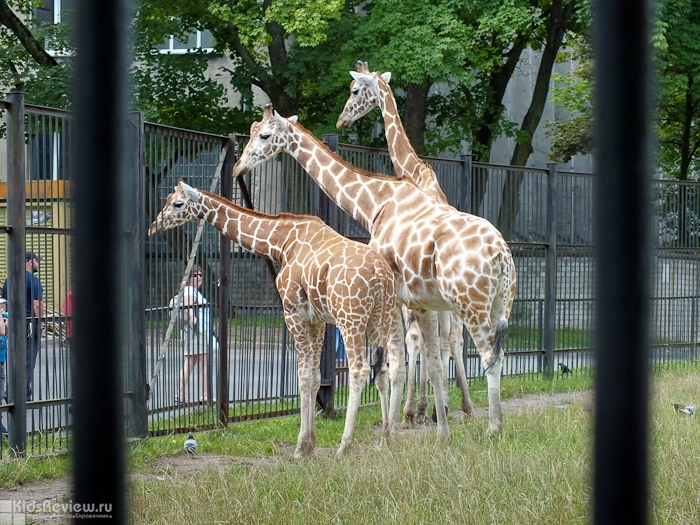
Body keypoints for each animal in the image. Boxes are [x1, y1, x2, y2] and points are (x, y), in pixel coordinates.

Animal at [148, 179, 396, 454]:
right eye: (167, 200)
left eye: (178, 203)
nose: (154, 226)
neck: (281, 243)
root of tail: (381, 274)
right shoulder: (317, 319)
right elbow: (315, 378)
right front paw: (310, 444)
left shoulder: (293, 312)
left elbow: (304, 376)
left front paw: (301, 447)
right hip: (380, 317)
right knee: (382, 368)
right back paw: (386, 439)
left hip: (350, 317)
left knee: (359, 369)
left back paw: (344, 446)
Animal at [232, 105, 516, 434]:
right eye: (251, 131)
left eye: (265, 134)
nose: (238, 167)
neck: (375, 203)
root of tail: (502, 255)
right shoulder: (417, 302)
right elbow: (421, 362)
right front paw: (422, 420)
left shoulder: (393, 299)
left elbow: (393, 363)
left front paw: (395, 423)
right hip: (496, 305)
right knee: (490, 352)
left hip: (470, 303)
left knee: (484, 354)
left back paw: (491, 426)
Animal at [336, 60, 474, 426]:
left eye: (355, 90)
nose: (341, 120)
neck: (415, 171)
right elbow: (423, 342)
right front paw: (423, 407)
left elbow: (415, 342)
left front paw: (414, 410)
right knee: (448, 338)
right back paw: (449, 406)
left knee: (445, 339)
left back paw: (442, 407)